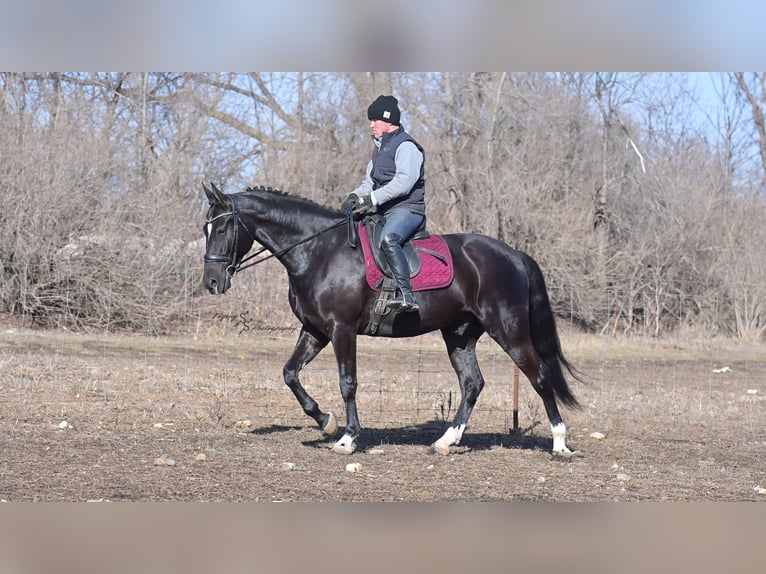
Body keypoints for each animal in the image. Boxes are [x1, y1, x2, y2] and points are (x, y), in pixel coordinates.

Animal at [201, 182, 583, 456]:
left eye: (221, 229)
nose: (212, 283)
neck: (317, 250)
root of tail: (513, 254)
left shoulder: (341, 330)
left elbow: (348, 382)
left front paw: (347, 438)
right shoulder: (315, 330)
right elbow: (290, 373)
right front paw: (325, 421)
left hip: (509, 330)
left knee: (539, 376)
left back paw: (559, 443)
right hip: (459, 335)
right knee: (472, 384)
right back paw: (446, 441)